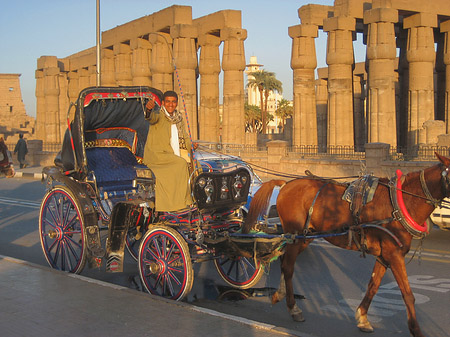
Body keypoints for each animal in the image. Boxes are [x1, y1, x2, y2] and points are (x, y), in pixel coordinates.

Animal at [244, 153, 450, 336]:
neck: (400, 202)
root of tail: (286, 184)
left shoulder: (384, 255)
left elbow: (373, 285)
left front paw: (362, 317)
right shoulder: (394, 254)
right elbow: (408, 294)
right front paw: (416, 330)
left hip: (304, 236)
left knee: (285, 261)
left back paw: (280, 294)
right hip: (295, 235)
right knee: (288, 267)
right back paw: (293, 308)